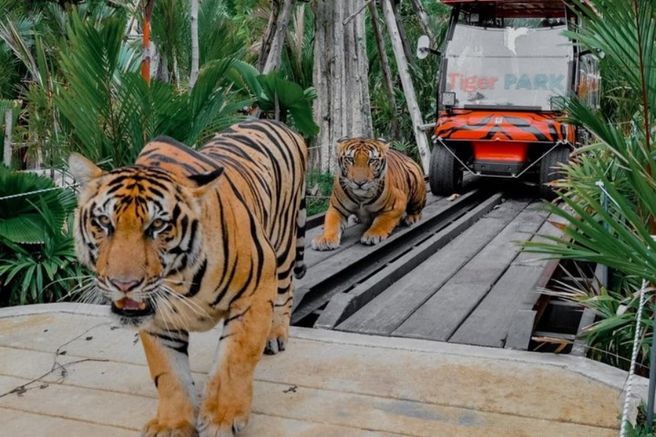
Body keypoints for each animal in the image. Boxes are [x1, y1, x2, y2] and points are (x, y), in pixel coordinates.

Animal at [69, 119, 307, 437]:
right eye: (104, 222)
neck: (179, 280)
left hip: (282, 246)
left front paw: (222, 419)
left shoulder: (255, 294)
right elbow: (169, 374)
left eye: (158, 225)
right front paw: (172, 425)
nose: (124, 284)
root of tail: (277, 122)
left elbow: (235, 361)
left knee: (287, 288)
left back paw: (276, 335)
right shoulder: (157, 321)